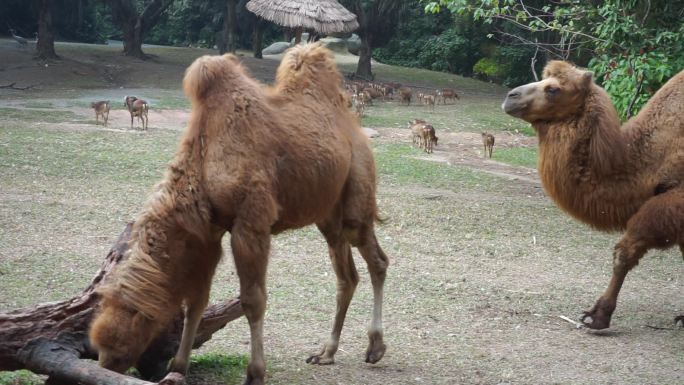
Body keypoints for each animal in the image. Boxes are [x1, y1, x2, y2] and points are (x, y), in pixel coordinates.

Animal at [89, 43, 390, 382]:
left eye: (120, 346)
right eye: (100, 348)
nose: (105, 367)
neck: (202, 164)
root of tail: (352, 124)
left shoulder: (250, 223)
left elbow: (252, 300)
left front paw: (255, 372)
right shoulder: (207, 231)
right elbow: (196, 300)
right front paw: (178, 366)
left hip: (356, 193)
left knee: (377, 260)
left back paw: (375, 347)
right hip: (327, 214)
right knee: (347, 276)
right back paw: (326, 352)